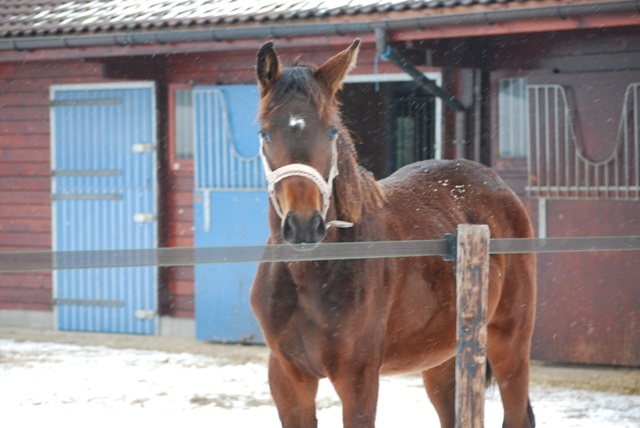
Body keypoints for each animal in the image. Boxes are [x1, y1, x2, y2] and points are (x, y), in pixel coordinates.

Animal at [250, 38, 536, 426]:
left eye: (331, 130)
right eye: (264, 132)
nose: (304, 225)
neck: (312, 277)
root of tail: (497, 184)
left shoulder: (358, 378)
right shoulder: (287, 378)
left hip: (510, 341)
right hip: (441, 357)